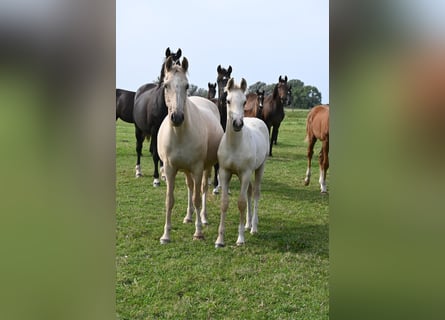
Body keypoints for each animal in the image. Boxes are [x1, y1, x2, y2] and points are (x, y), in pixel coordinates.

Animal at [131, 47, 181, 185]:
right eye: (167, 65)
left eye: (179, 63)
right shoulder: (154, 130)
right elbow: (155, 154)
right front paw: (156, 179)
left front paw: (164, 175)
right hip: (138, 129)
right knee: (138, 148)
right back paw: (138, 172)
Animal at [158, 56, 224, 244]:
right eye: (166, 85)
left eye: (187, 85)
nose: (177, 117)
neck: (180, 133)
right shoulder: (170, 168)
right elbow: (169, 200)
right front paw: (166, 235)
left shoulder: (197, 168)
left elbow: (197, 198)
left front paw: (198, 232)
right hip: (186, 170)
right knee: (190, 187)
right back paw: (188, 216)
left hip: (205, 168)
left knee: (202, 190)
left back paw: (203, 217)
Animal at [214, 77, 268, 248]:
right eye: (228, 100)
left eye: (244, 102)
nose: (237, 124)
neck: (234, 145)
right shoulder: (225, 173)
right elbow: (224, 203)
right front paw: (220, 240)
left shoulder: (244, 173)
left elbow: (241, 203)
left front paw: (240, 239)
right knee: (250, 192)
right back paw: (248, 224)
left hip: (259, 168)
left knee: (255, 193)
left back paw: (254, 227)